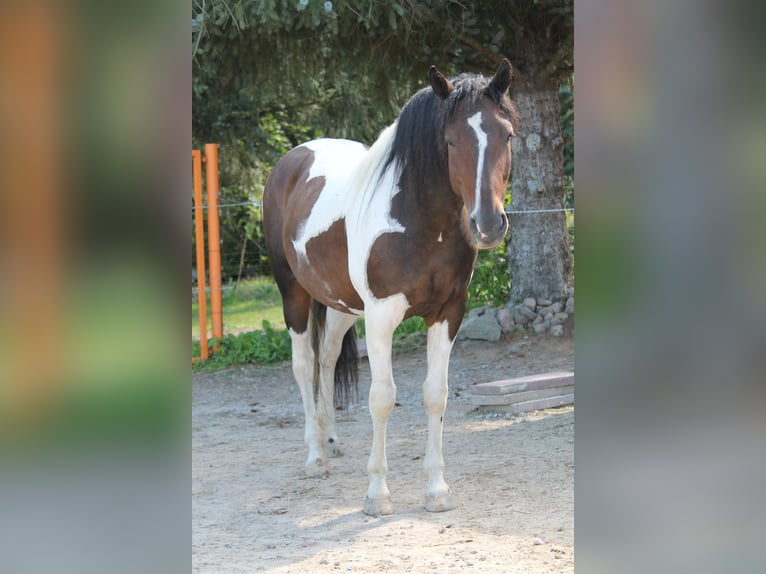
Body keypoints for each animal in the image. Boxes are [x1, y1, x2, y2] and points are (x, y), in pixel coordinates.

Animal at [262, 60, 518, 516]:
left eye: (506, 134)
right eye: (450, 141)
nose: (488, 224)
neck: (420, 222)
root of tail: (292, 161)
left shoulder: (448, 313)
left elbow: (436, 394)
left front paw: (436, 489)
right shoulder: (381, 316)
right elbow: (382, 397)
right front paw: (377, 494)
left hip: (342, 307)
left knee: (326, 359)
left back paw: (330, 438)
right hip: (294, 295)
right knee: (303, 365)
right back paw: (315, 456)